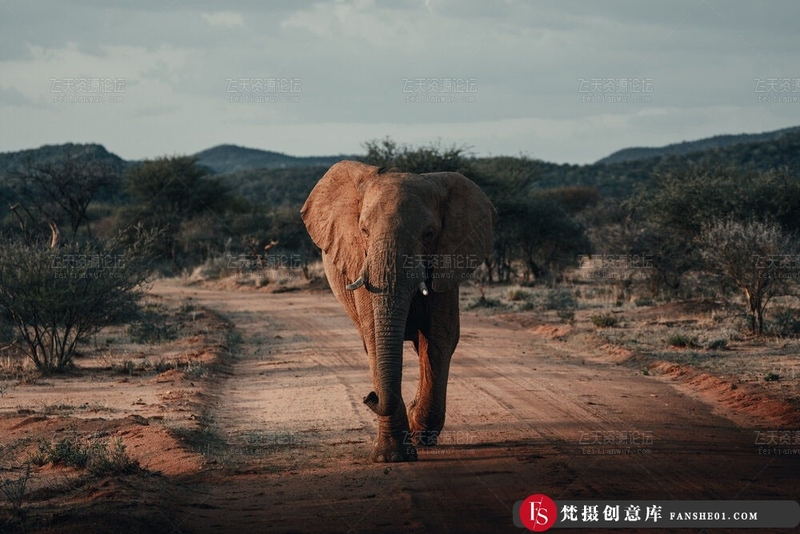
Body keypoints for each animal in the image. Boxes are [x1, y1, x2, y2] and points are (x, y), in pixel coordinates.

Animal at [302, 160, 494, 464]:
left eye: (429, 233)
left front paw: (419, 433)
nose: (368, 397)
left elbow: (439, 339)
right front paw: (392, 457)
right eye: (364, 230)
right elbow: (375, 339)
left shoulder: (446, 261)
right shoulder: (360, 264)